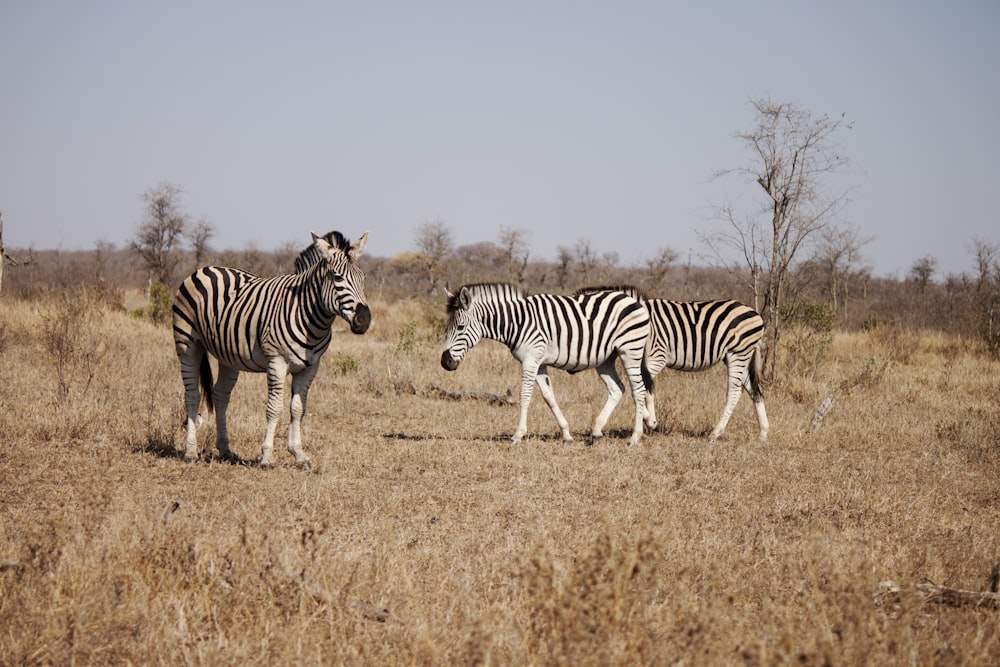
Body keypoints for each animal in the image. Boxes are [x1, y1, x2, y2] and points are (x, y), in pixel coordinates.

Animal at [172, 232, 372, 468]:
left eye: (363, 278)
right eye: (337, 278)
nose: (364, 320)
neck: (310, 316)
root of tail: (205, 269)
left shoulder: (310, 367)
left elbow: (298, 409)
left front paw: (299, 454)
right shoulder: (277, 362)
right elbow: (274, 408)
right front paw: (267, 456)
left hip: (227, 356)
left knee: (221, 396)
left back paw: (225, 450)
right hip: (187, 344)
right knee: (192, 395)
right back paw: (190, 452)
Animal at [442, 284, 652, 446]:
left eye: (460, 327)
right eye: (447, 328)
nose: (445, 362)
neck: (517, 322)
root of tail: (633, 300)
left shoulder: (530, 360)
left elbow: (524, 396)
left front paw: (518, 435)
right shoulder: (539, 363)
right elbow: (549, 397)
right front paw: (566, 434)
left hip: (630, 351)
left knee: (638, 390)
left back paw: (634, 438)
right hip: (605, 360)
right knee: (617, 388)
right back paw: (597, 431)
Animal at [576, 286, 768, 444]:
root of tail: (755, 313)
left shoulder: (656, 357)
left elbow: (645, 389)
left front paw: (650, 421)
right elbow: (647, 389)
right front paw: (650, 420)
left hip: (738, 354)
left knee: (734, 393)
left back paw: (715, 434)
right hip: (737, 357)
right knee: (754, 390)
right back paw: (763, 433)